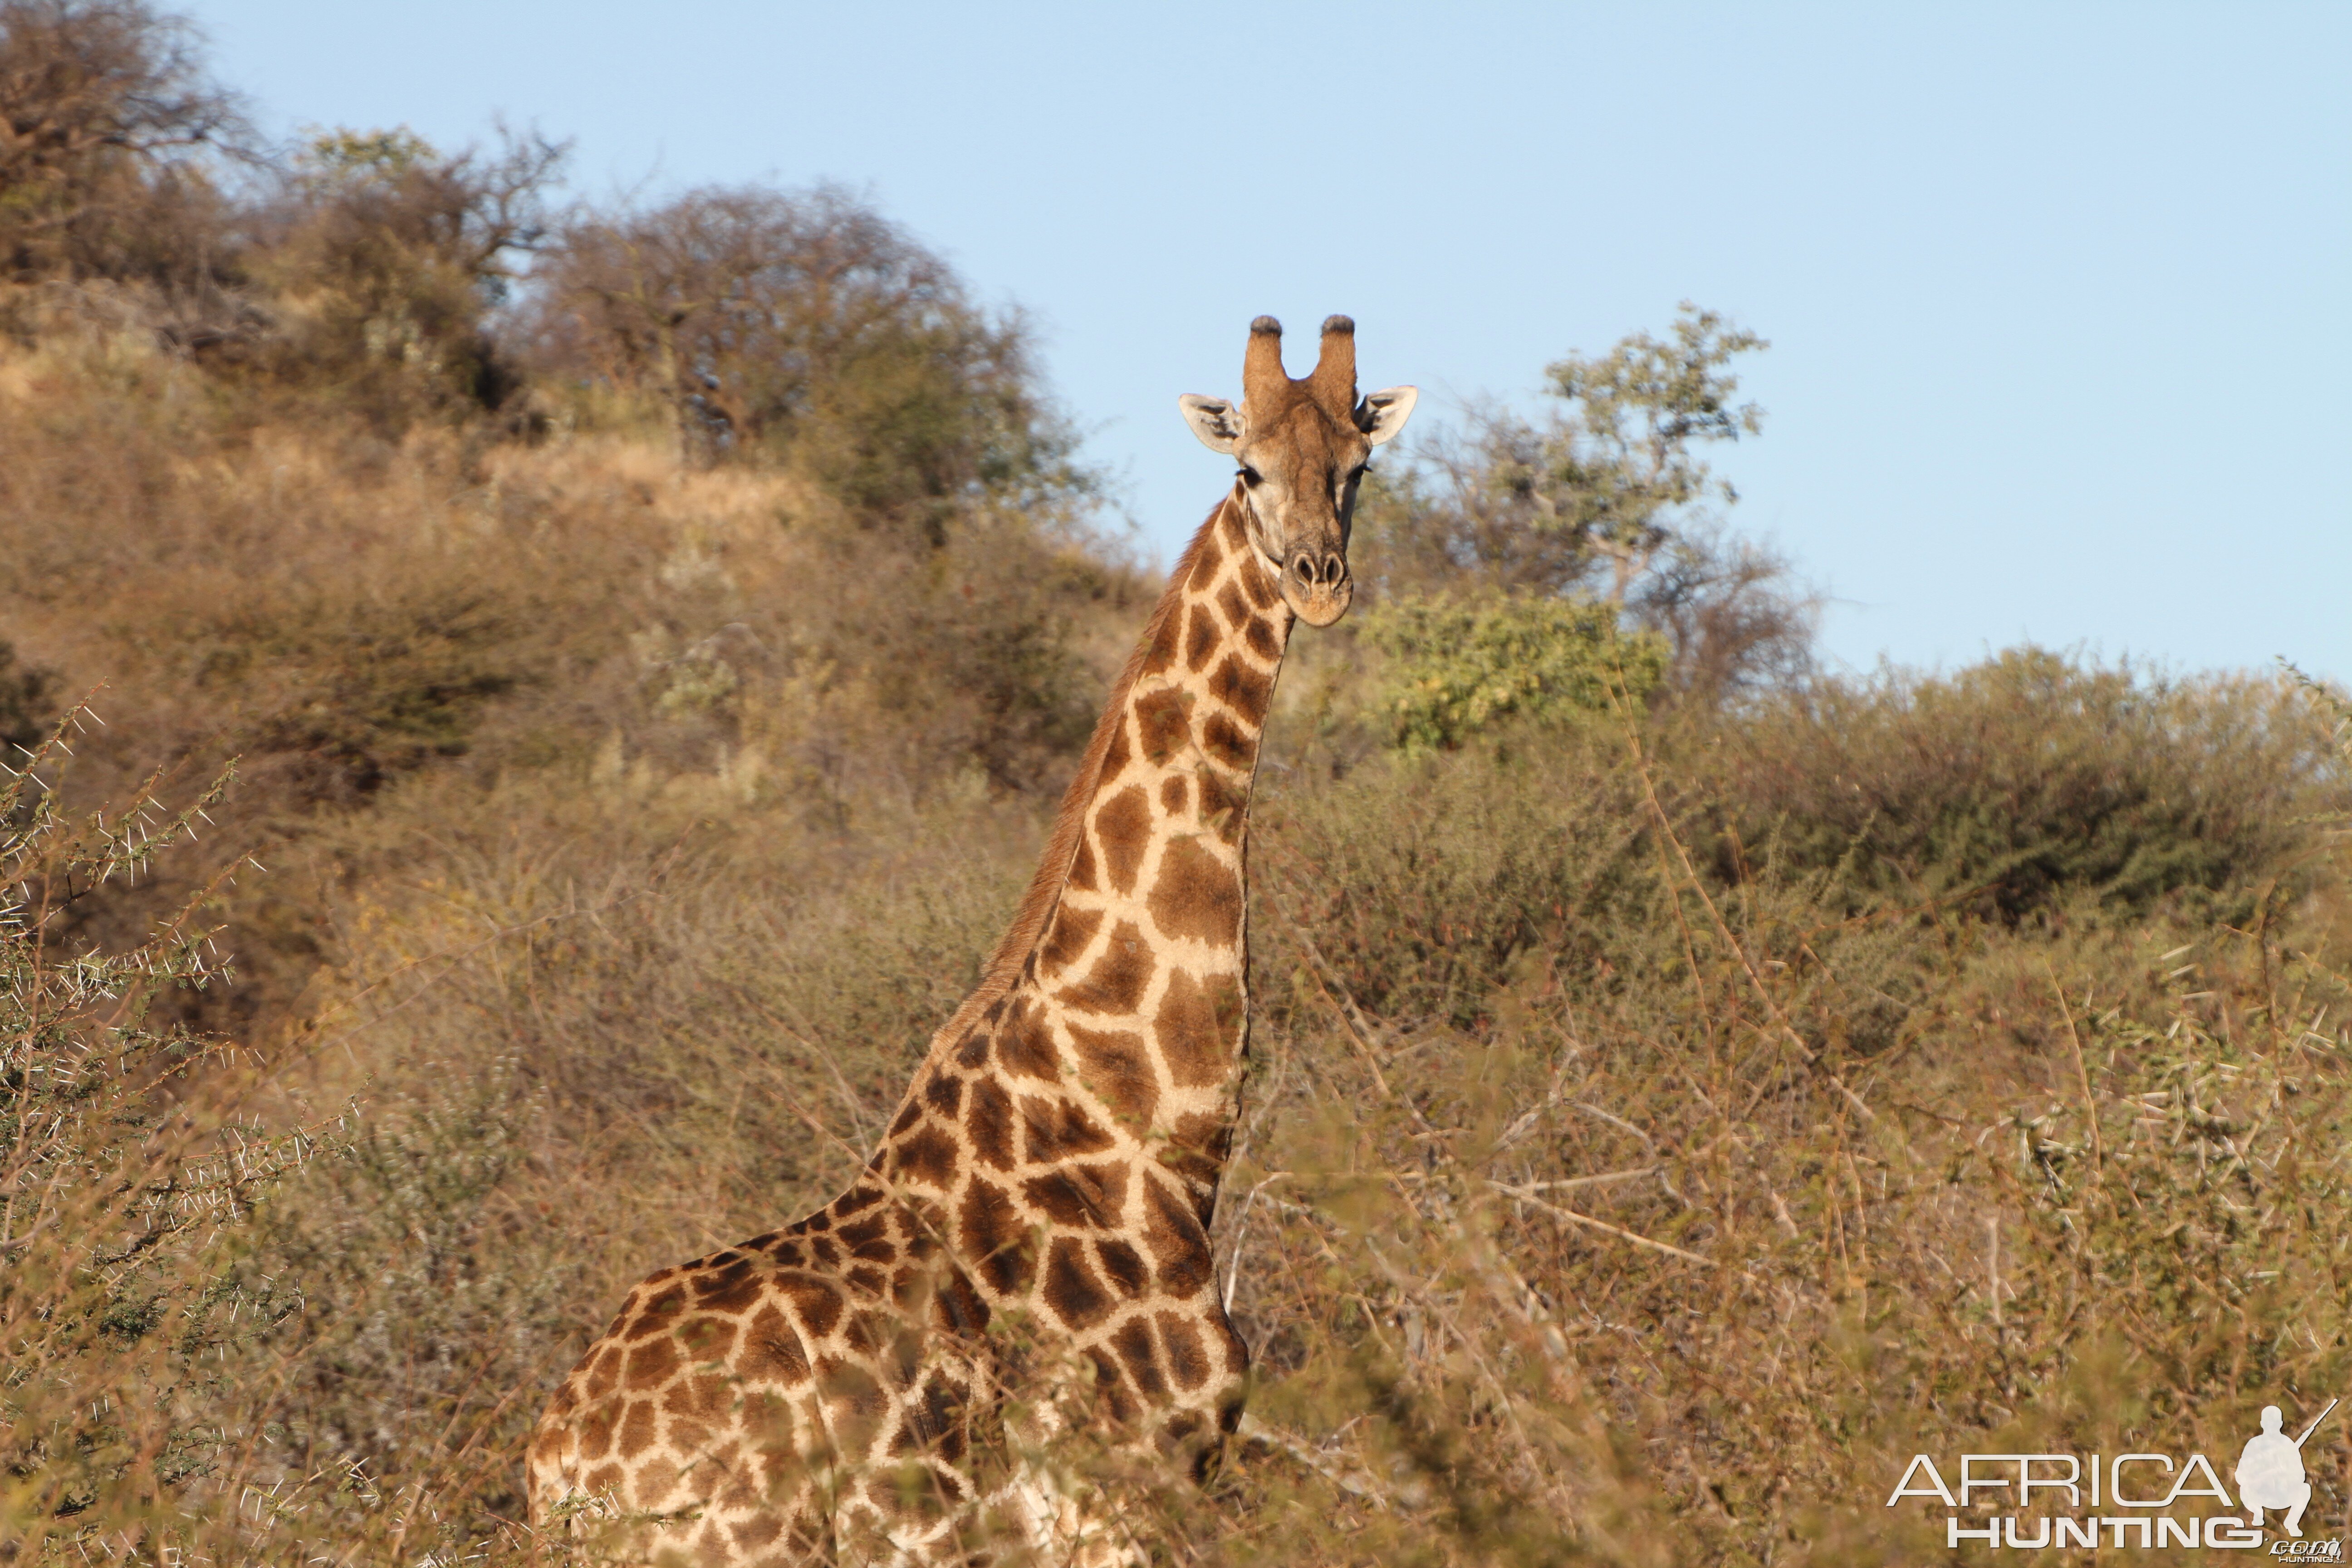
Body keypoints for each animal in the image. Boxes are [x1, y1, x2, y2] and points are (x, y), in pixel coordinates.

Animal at [529, 319, 1411, 1568]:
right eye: (1246, 473)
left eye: (1358, 469)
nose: (1317, 582)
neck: (1145, 1115)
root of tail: (560, 1469)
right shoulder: (1123, 1494)